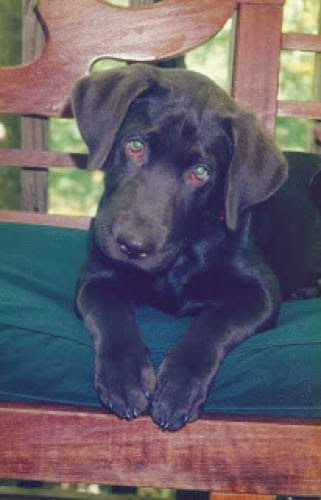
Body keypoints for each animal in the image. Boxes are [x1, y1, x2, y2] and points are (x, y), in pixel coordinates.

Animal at [72, 62, 320, 430]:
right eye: (135, 145)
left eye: (201, 172)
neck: (184, 252)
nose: (132, 245)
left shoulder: (261, 292)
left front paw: (178, 387)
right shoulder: (95, 275)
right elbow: (109, 310)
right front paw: (124, 377)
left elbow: (215, 322)